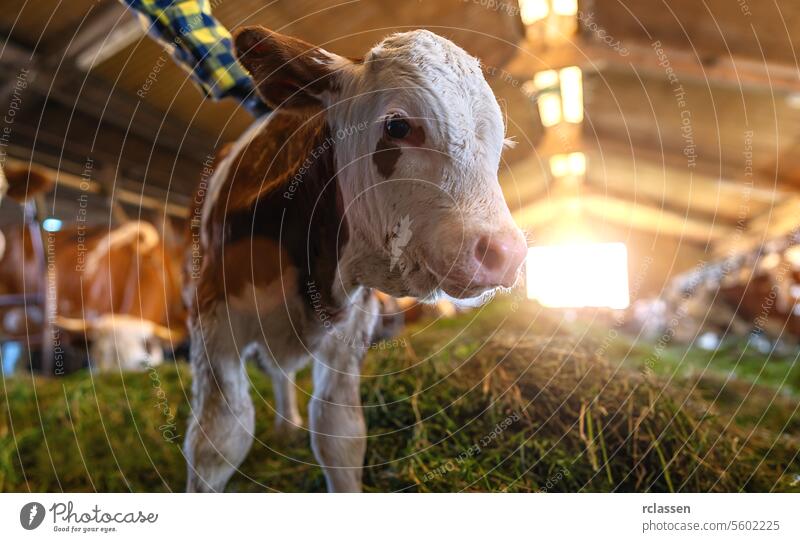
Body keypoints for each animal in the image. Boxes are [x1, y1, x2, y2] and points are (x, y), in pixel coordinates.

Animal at [184, 26, 528, 492]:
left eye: (501, 144)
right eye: (398, 125)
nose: (505, 253)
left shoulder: (353, 325)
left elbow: (340, 435)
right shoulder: (212, 316)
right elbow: (218, 440)